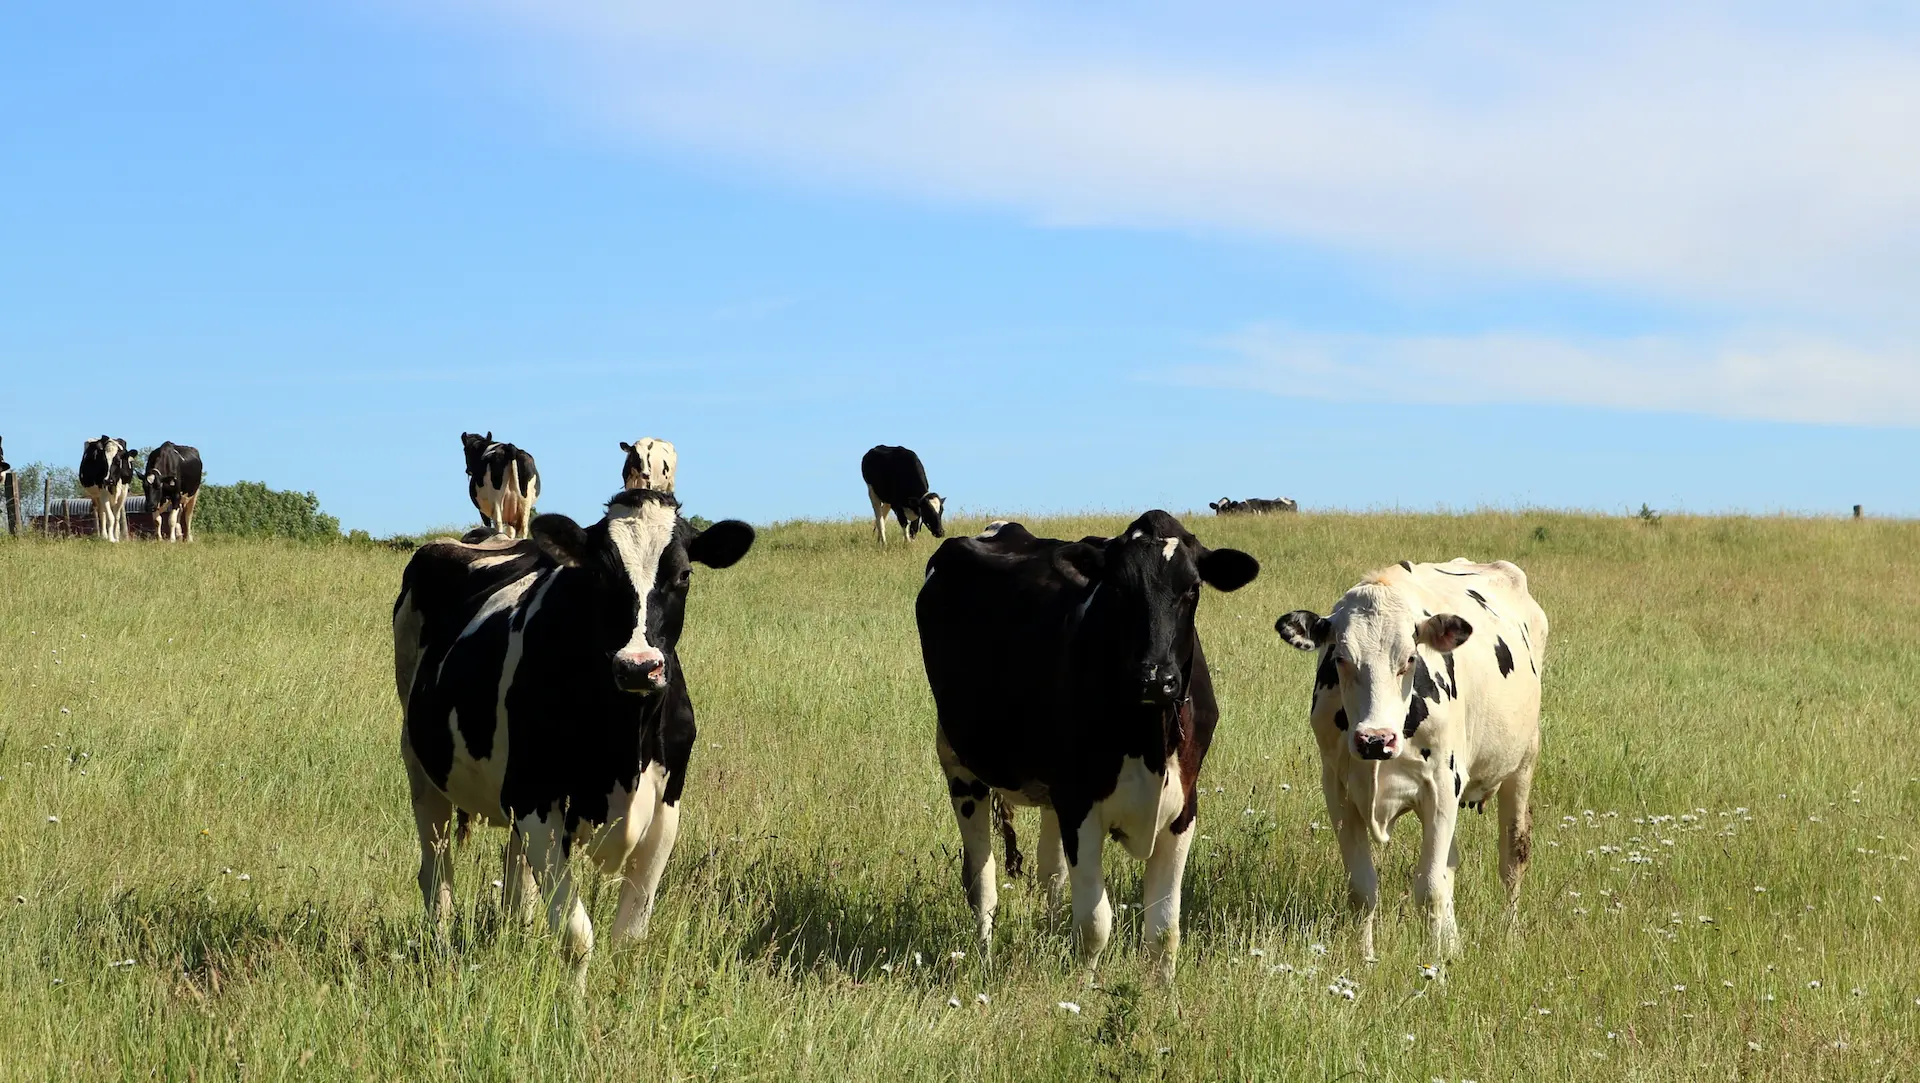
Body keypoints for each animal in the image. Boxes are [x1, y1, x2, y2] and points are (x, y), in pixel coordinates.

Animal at [392, 489, 754, 974]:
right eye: (599, 573)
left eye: (684, 574)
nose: (638, 666)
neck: (624, 747)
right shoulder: (535, 800)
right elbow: (576, 935)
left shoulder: (666, 809)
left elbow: (629, 937)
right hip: (420, 762)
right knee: (436, 870)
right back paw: (444, 949)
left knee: (514, 881)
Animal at [916, 513, 1259, 980]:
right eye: (1118, 588)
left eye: (1192, 588)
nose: (1155, 678)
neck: (1148, 740)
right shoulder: (1079, 805)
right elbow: (1095, 924)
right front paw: (1085, 986)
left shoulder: (1183, 807)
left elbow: (1164, 929)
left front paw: (1163, 990)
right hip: (960, 765)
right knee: (981, 882)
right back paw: (985, 957)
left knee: (1050, 873)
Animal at [1275, 558, 1548, 962]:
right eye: (1340, 658)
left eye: (1409, 659)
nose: (1375, 739)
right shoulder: (1338, 792)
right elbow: (1363, 889)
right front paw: (1365, 959)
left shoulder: (1442, 787)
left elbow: (1431, 889)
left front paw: (1435, 964)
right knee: (1450, 864)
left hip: (1523, 761)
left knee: (1513, 856)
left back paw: (1510, 934)